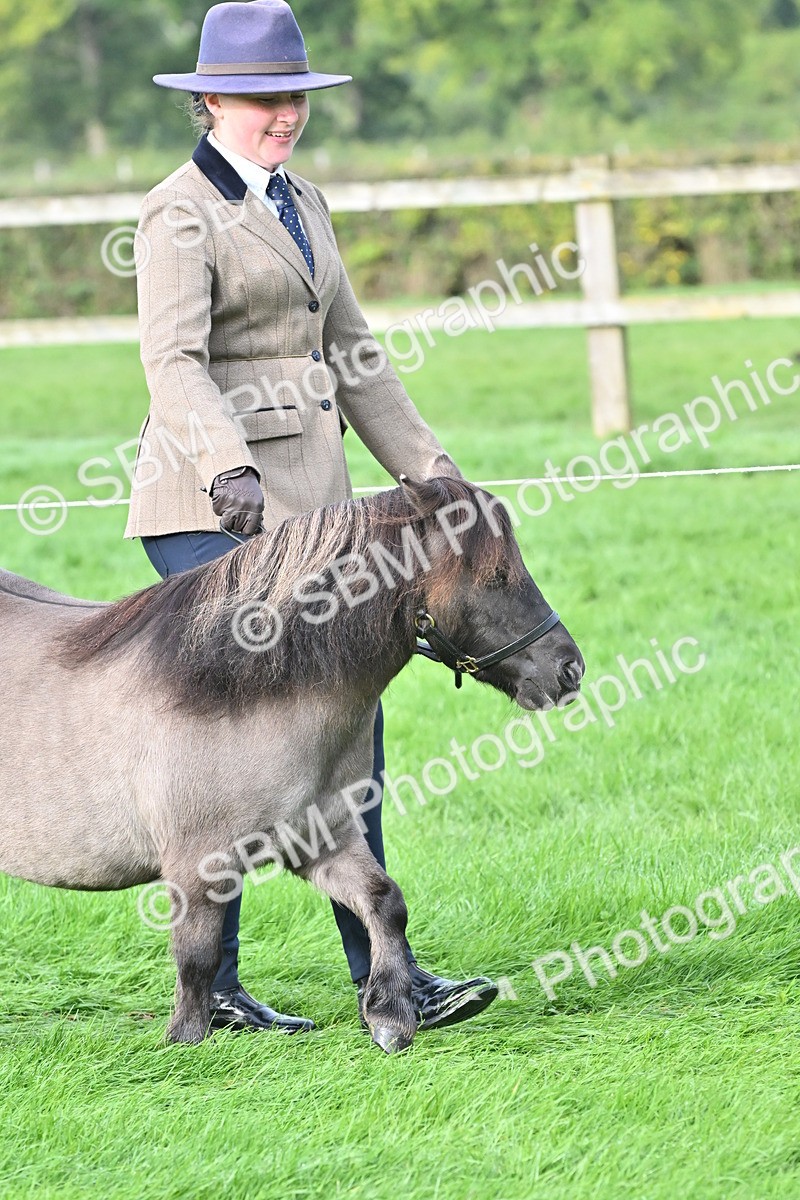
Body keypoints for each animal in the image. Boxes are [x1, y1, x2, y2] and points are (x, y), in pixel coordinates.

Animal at [0, 473, 584, 1053]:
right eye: (497, 577)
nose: (570, 669)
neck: (243, 687)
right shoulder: (196, 869)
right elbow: (197, 963)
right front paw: (185, 1045)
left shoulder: (322, 839)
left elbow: (384, 902)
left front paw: (392, 1014)